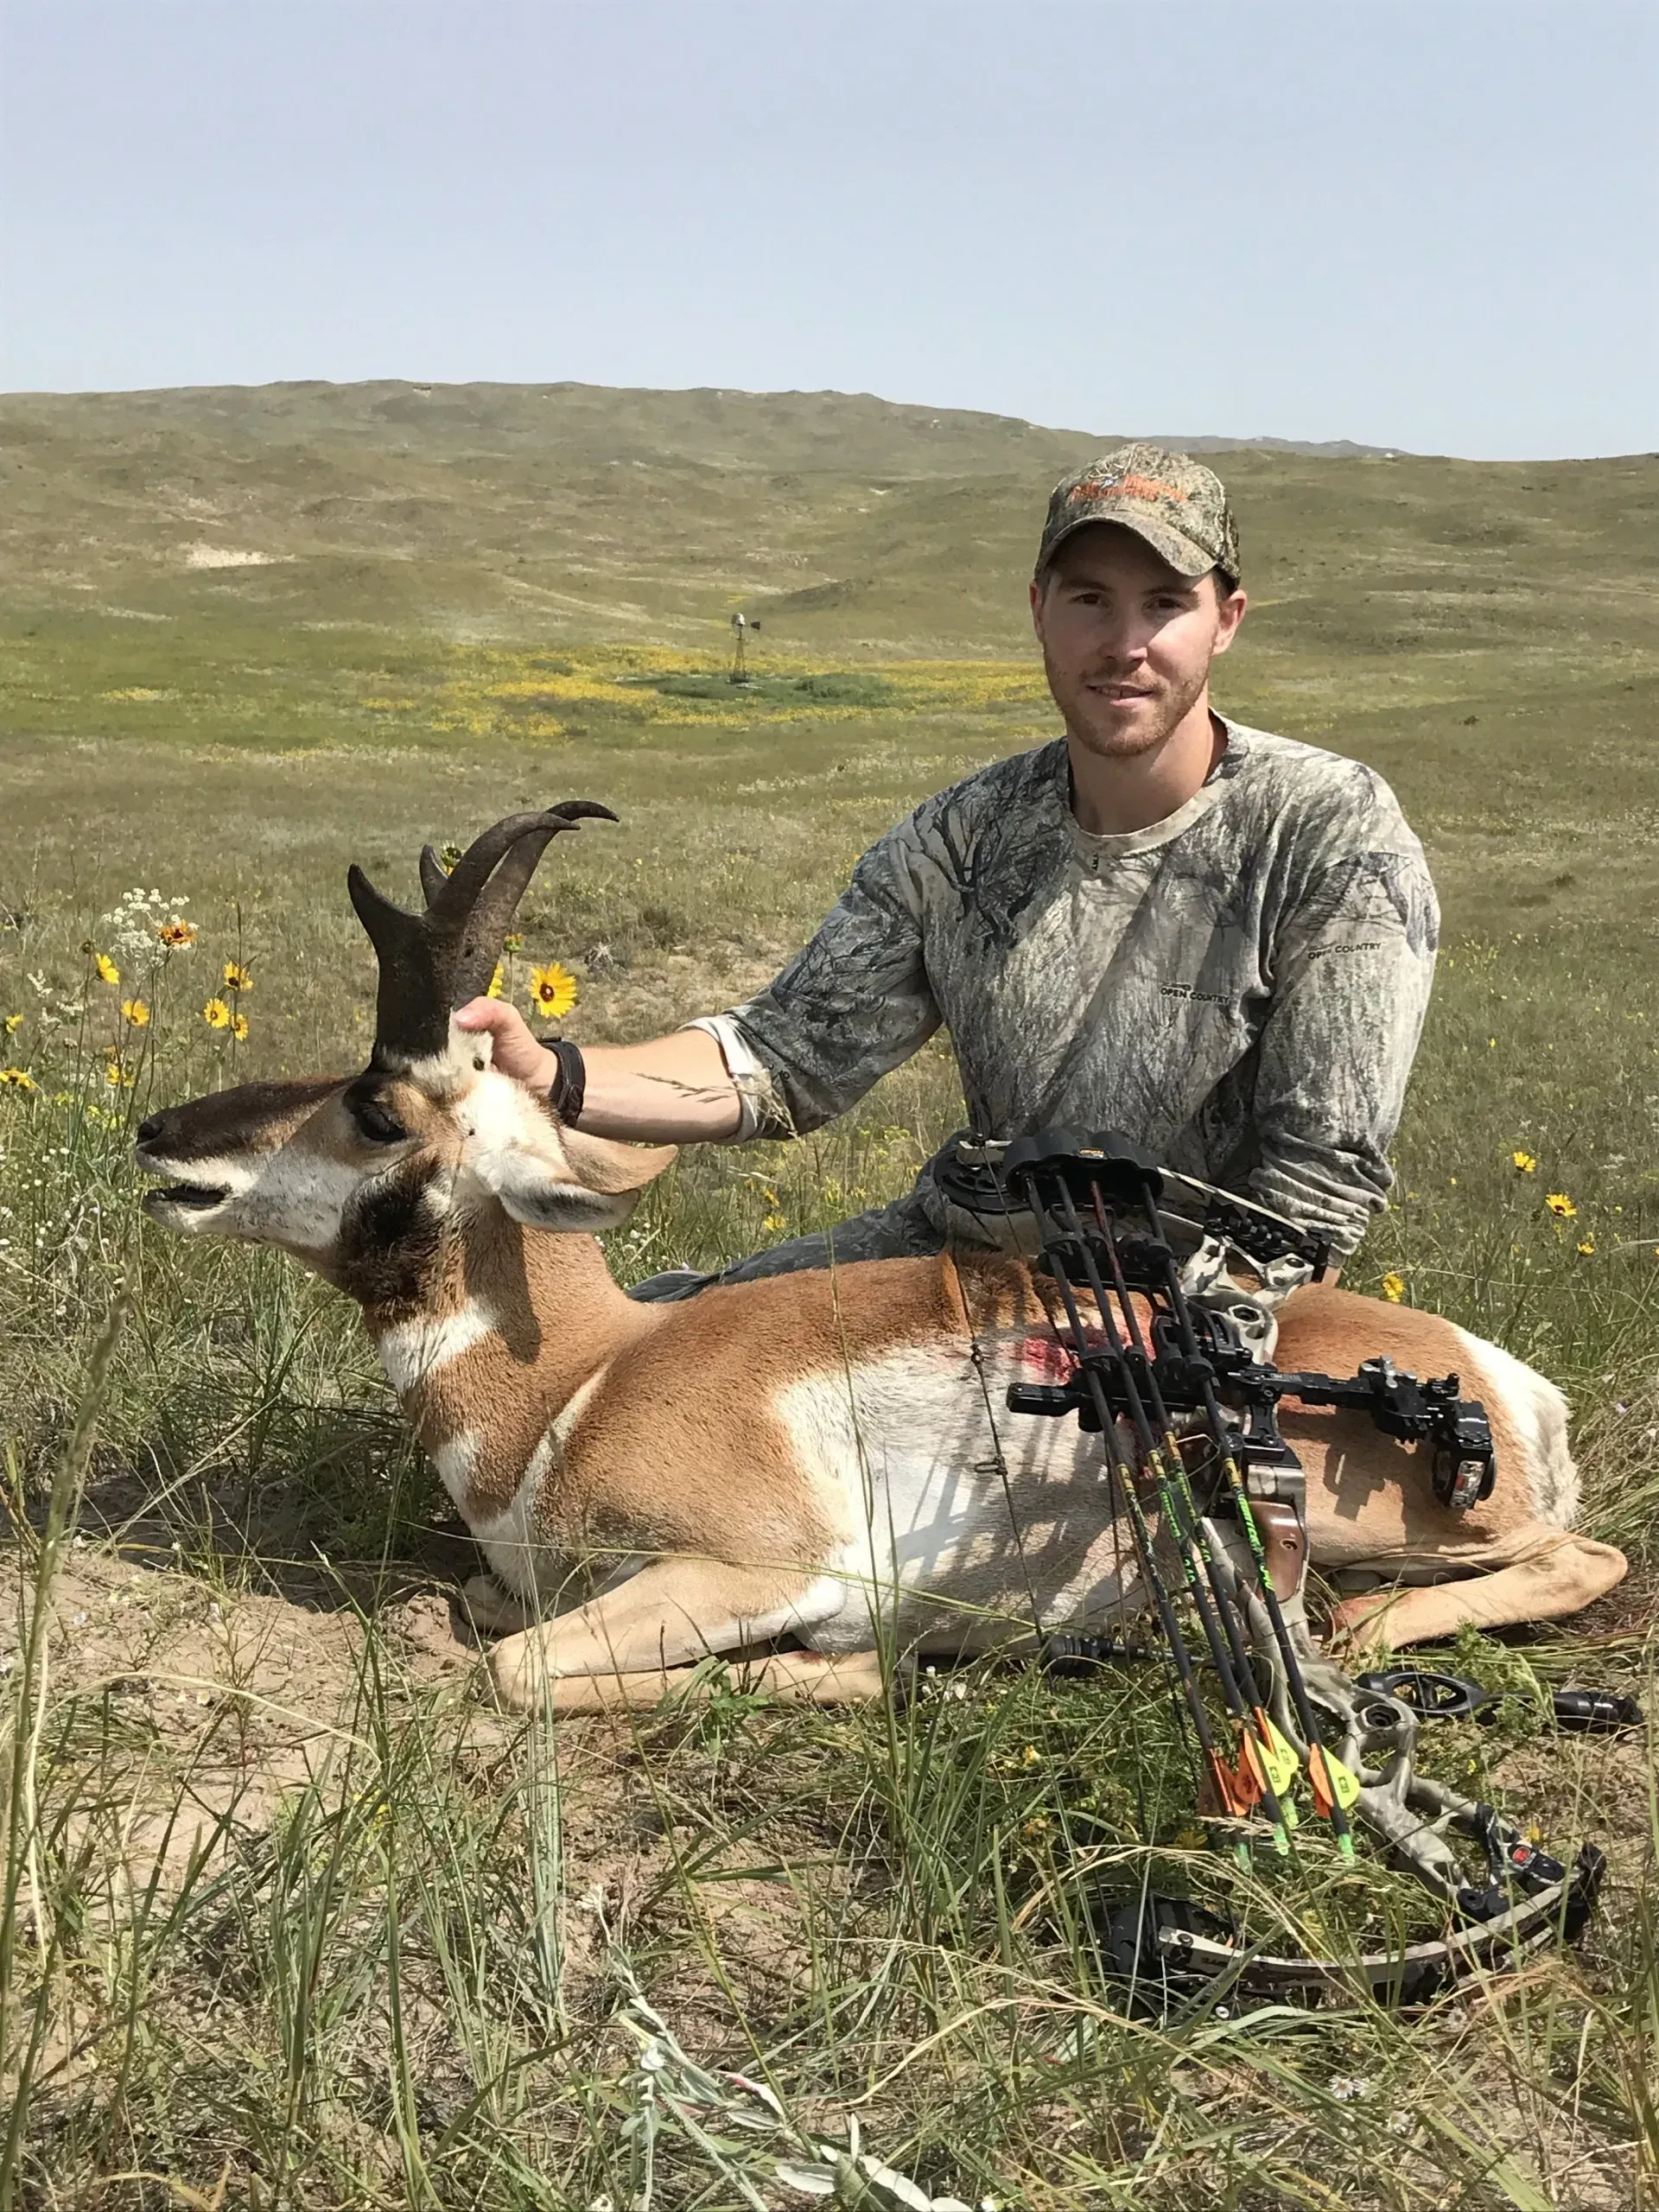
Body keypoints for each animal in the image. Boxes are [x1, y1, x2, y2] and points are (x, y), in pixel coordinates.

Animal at [135, 804, 1628, 1716]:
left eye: (377, 1106)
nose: (159, 1134)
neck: (583, 1380)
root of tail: (1505, 1379)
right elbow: (479, 1604)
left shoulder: (747, 1572)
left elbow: (516, 1667)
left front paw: (853, 1675)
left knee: (1577, 1560)